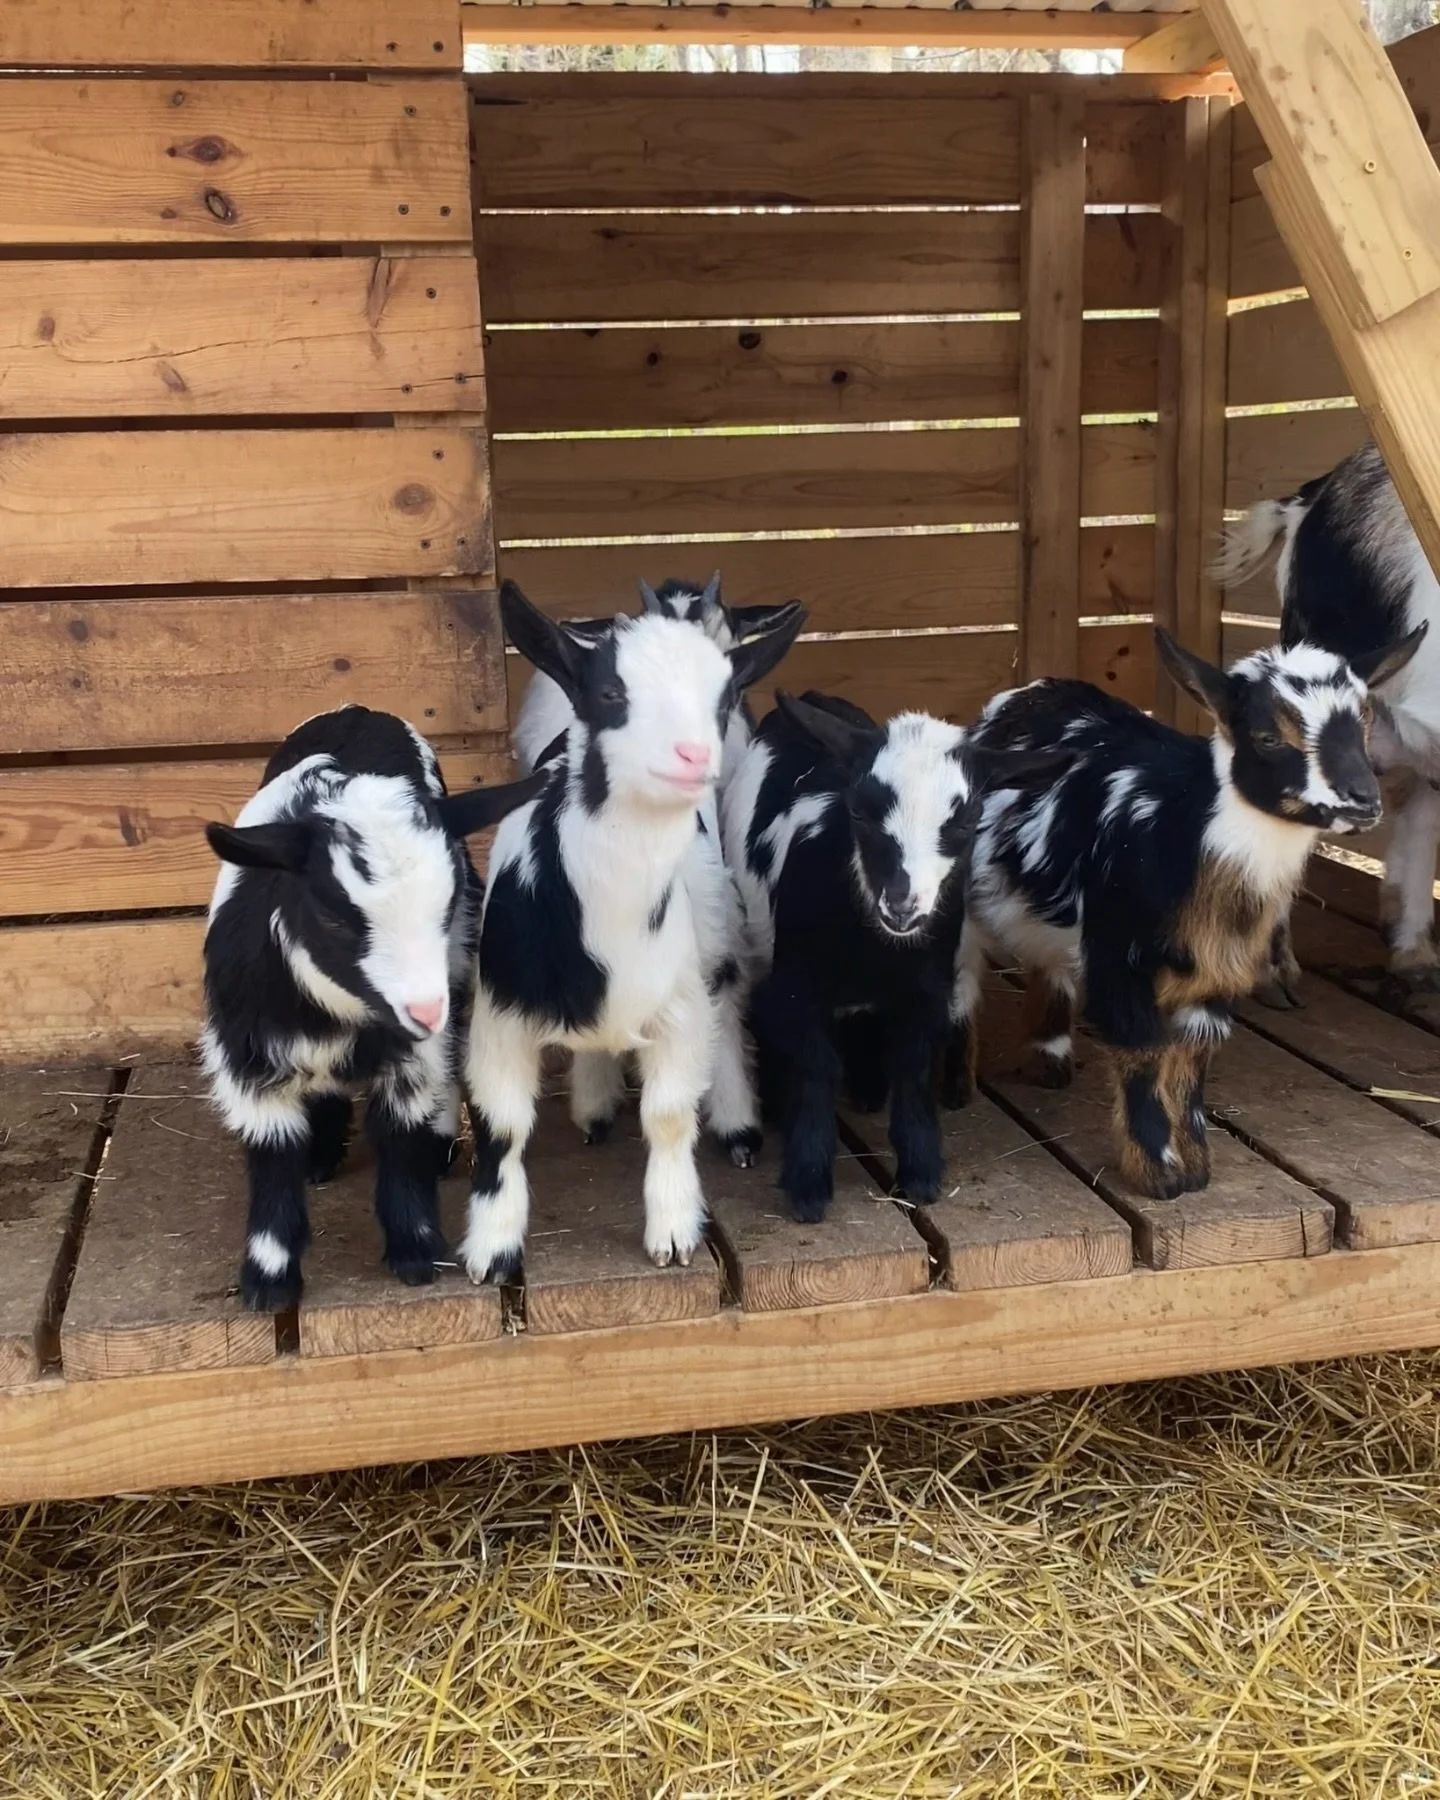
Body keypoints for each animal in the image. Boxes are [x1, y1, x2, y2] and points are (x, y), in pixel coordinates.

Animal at [201, 705, 543, 1309]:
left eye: (446, 904)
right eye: (334, 917)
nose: (425, 1010)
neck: (338, 1020)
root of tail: (357, 710)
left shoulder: (413, 1056)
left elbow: (399, 1137)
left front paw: (415, 1252)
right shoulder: (248, 1063)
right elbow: (272, 1158)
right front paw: (268, 1281)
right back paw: (320, 1154)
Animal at [460, 583, 801, 1282]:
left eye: (723, 694)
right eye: (610, 693)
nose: (694, 755)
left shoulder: (679, 1008)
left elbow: (669, 1115)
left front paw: (672, 1230)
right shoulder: (499, 1015)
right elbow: (501, 1126)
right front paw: (491, 1250)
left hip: (713, 915)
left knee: (727, 997)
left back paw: (738, 1125)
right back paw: (593, 1107)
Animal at [721, 690, 1064, 1222]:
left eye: (965, 821)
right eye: (859, 813)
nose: (903, 904)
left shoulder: (927, 989)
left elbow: (912, 1066)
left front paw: (920, 1173)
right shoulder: (798, 985)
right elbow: (816, 1067)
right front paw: (808, 1185)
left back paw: (867, 1089)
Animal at [952, 626, 1422, 1200]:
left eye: (1364, 721)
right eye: (1267, 736)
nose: (1363, 801)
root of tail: (1032, 689)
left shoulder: (1215, 973)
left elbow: (1192, 1061)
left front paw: (1195, 1167)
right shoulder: (1118, 957)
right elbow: (1143, 1052)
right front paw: (1156, 1173)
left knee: (1047, 960)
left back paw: (1051, 1058)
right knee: (960, 980)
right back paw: (955, 1087)